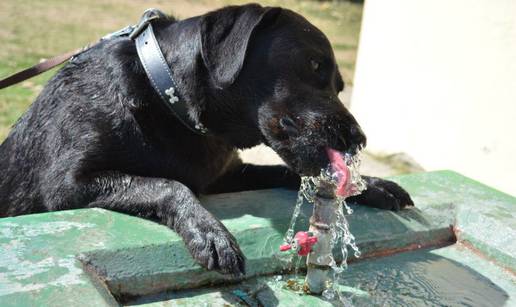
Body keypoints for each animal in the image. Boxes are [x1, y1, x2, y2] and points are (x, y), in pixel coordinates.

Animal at [0, 4, 412, 276]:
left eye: (341, 86)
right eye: (313, 65)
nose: (359, 139)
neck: (167, 100)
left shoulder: (229, 175)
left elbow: (287, 172)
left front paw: (372, 184)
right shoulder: (68, 185)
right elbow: (168, 185)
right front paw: (210, 233)